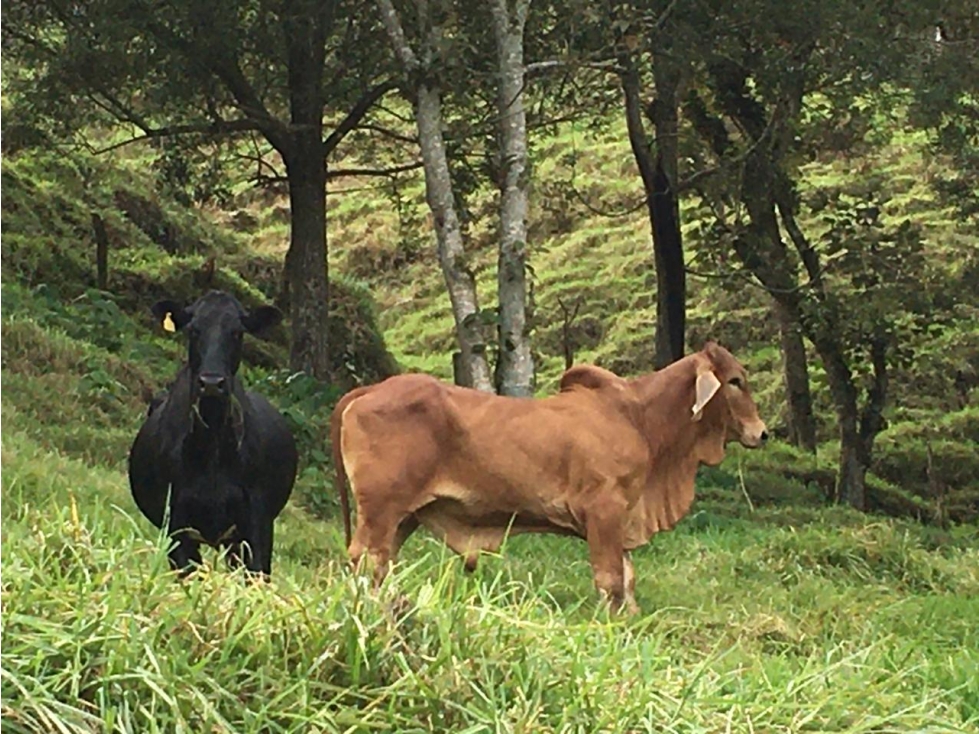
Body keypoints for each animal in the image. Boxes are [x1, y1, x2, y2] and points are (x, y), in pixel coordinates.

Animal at [334, 344, 768, 616]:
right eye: (735, 381)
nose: (762, 433)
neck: (640, 420)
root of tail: (369, 390)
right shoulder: (605, 510)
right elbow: (611, 579)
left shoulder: (621, 517)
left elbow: (628, 578)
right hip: (380, 508)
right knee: (365, 558)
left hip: (403, 516)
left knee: (381, 563)